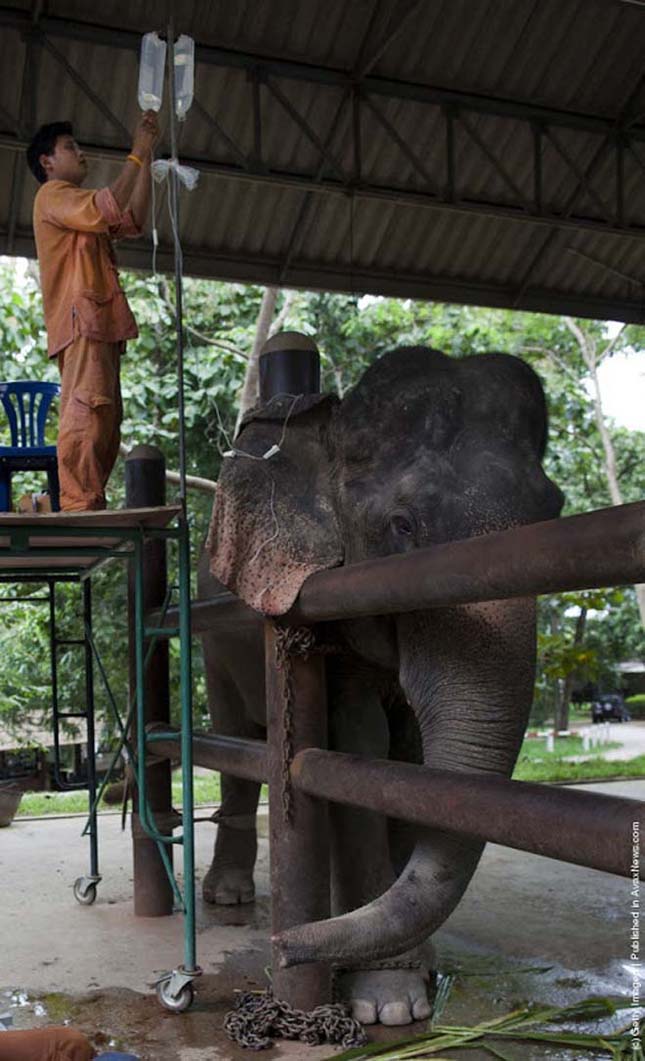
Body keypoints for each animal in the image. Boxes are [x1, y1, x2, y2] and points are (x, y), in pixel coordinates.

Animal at [197, 335, 564, 1022]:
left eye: (554, 511)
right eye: (402, 526)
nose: (281, 950)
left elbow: (408, 768)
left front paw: (414, 974)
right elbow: (358, 748)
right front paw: (388, 1005)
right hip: (214, 645)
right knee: (237, 746)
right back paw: (229, 898)